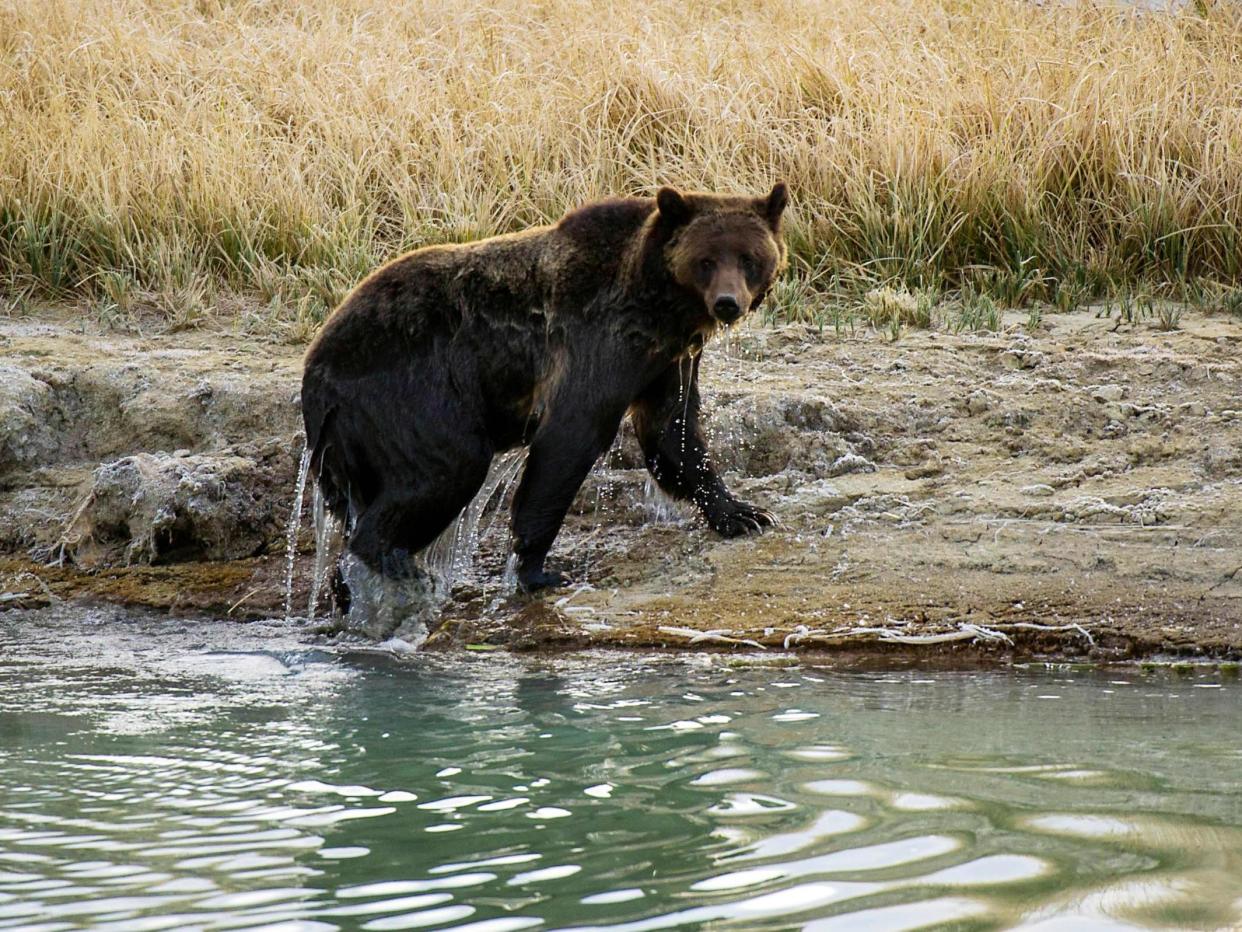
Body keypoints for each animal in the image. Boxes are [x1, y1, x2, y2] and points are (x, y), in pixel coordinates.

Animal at [300, 183, 784, 591]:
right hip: (409, 391)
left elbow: (674, 433)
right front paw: (538, 568)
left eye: (748, 258)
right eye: (706, 260)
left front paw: (743, 513)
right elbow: (570, 437)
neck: (658, 309)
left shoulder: (666, 362)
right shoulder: (595, 342)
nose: (728, 303)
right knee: (448, 466)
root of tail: (314, 370)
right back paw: (394, 568)